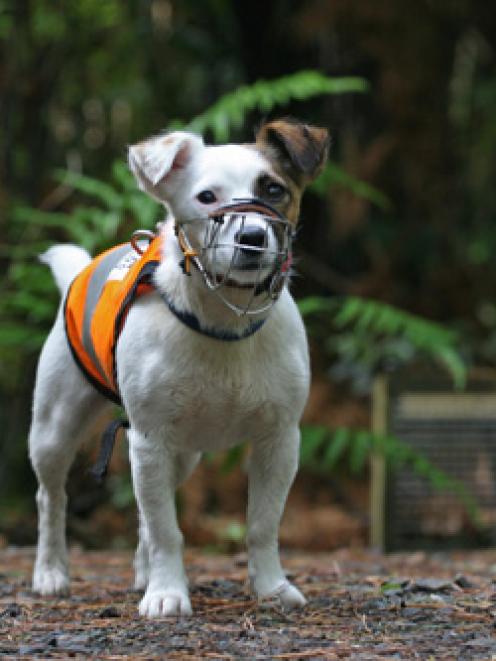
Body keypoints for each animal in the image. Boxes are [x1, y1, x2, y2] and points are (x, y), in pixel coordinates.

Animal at [27, 117, 330, 612]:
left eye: (273, 189)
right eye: (206, 196)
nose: (252, 239)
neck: (224, 321)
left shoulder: (279, 439)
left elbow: (262, 524)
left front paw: (270, 586)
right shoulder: (150, 439)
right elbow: (167, 530)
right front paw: (167, 593)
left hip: (182, 453)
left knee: (149, 510)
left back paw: (142, 571)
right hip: (55, 429)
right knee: (51, 498)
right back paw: (51, 572)